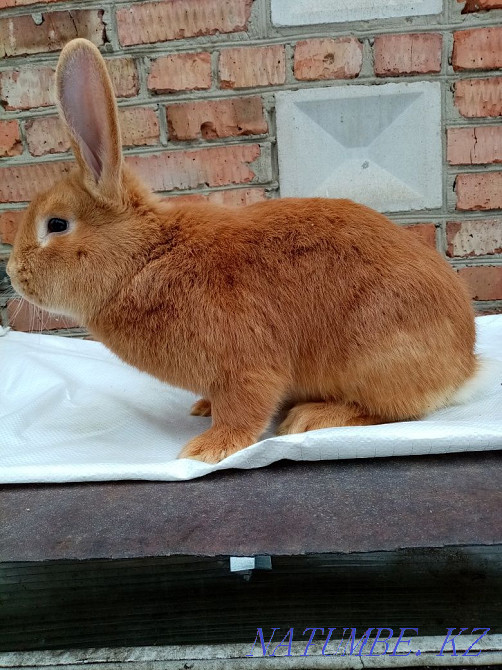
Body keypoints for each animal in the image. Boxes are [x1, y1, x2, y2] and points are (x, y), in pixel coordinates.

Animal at [7, 38, 477, 464]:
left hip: (375, 356)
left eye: (56, 225)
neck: (145, 257)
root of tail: (463, 364)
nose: (12, 272)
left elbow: (244, 409)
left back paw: (311, 417)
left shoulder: (245, 366)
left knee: (392, 411)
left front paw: (206, 449)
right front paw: (203, 410)